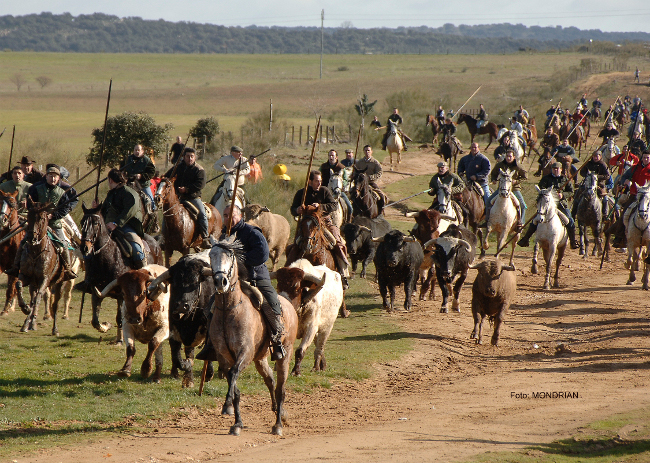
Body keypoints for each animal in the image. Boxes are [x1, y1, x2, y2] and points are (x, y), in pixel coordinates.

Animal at [14, 201, 70, 336]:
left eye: (42, 218)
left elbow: (39, 296)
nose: (30, 237)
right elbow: (18, 285)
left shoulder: (44, 279)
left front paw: (33, 317)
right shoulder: (25, 276)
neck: (36, 251)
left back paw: (54, 329)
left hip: (59, 283)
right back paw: (27, 324)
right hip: (33, 284)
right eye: (29, 216)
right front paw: (25, 308)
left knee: (54, 305)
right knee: (33, 299)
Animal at [79, 204, 163, 344]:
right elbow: (95, 320)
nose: (84, 247)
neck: (106, 259)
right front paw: (106, 326)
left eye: (95, 223)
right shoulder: (97, 292)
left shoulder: (121, 295)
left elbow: (120, 317)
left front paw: (120, 339)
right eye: (82, 222)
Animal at [206, 237, 298, 436]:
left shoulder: (244, 353)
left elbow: (233, 374)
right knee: (271, 381)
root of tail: (289, 306)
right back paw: (278, 411)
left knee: (280, 389)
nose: (220, 281)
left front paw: (226, 404)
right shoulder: (224, 356)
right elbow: (235, 388)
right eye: (210, 255)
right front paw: (237, 423)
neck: (229, 310)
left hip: (284, 356)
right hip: (260, 359)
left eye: (230, 255)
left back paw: (278, 424)